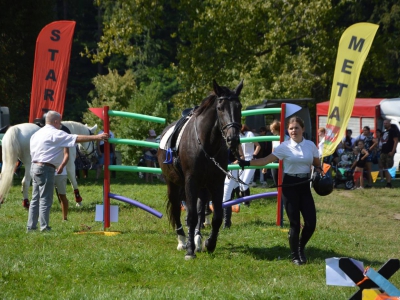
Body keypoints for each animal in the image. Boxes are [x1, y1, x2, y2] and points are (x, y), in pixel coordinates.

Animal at [158, 80, 242, 260]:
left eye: (239, 106)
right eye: (220, 108)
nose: (232, 139)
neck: (206, 143)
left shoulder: (216, 182)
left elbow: (216, 216)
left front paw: (209, 244)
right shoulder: (191, 182)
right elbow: (190, 216)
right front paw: (190, 251)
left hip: (202, 188)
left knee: (200, 210)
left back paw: (197, 239)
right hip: (173, 184)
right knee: (176, 209)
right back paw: (182, 241)